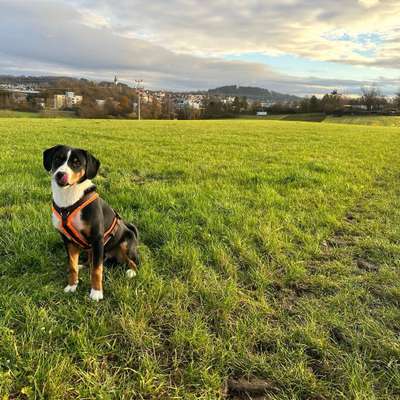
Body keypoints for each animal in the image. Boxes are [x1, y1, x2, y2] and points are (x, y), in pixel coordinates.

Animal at [43, 145, 140, 302]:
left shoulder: (97, 239)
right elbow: (72, 266)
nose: (60, 174)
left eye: (76, 162)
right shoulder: (68, 241)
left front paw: (96, 292)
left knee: (134, 261)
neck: (68, 200)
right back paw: (82, 265)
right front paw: (72, 285)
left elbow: (97, 270)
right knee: (91, 260)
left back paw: (131, 271)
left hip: (125, 245)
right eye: (58, 159)